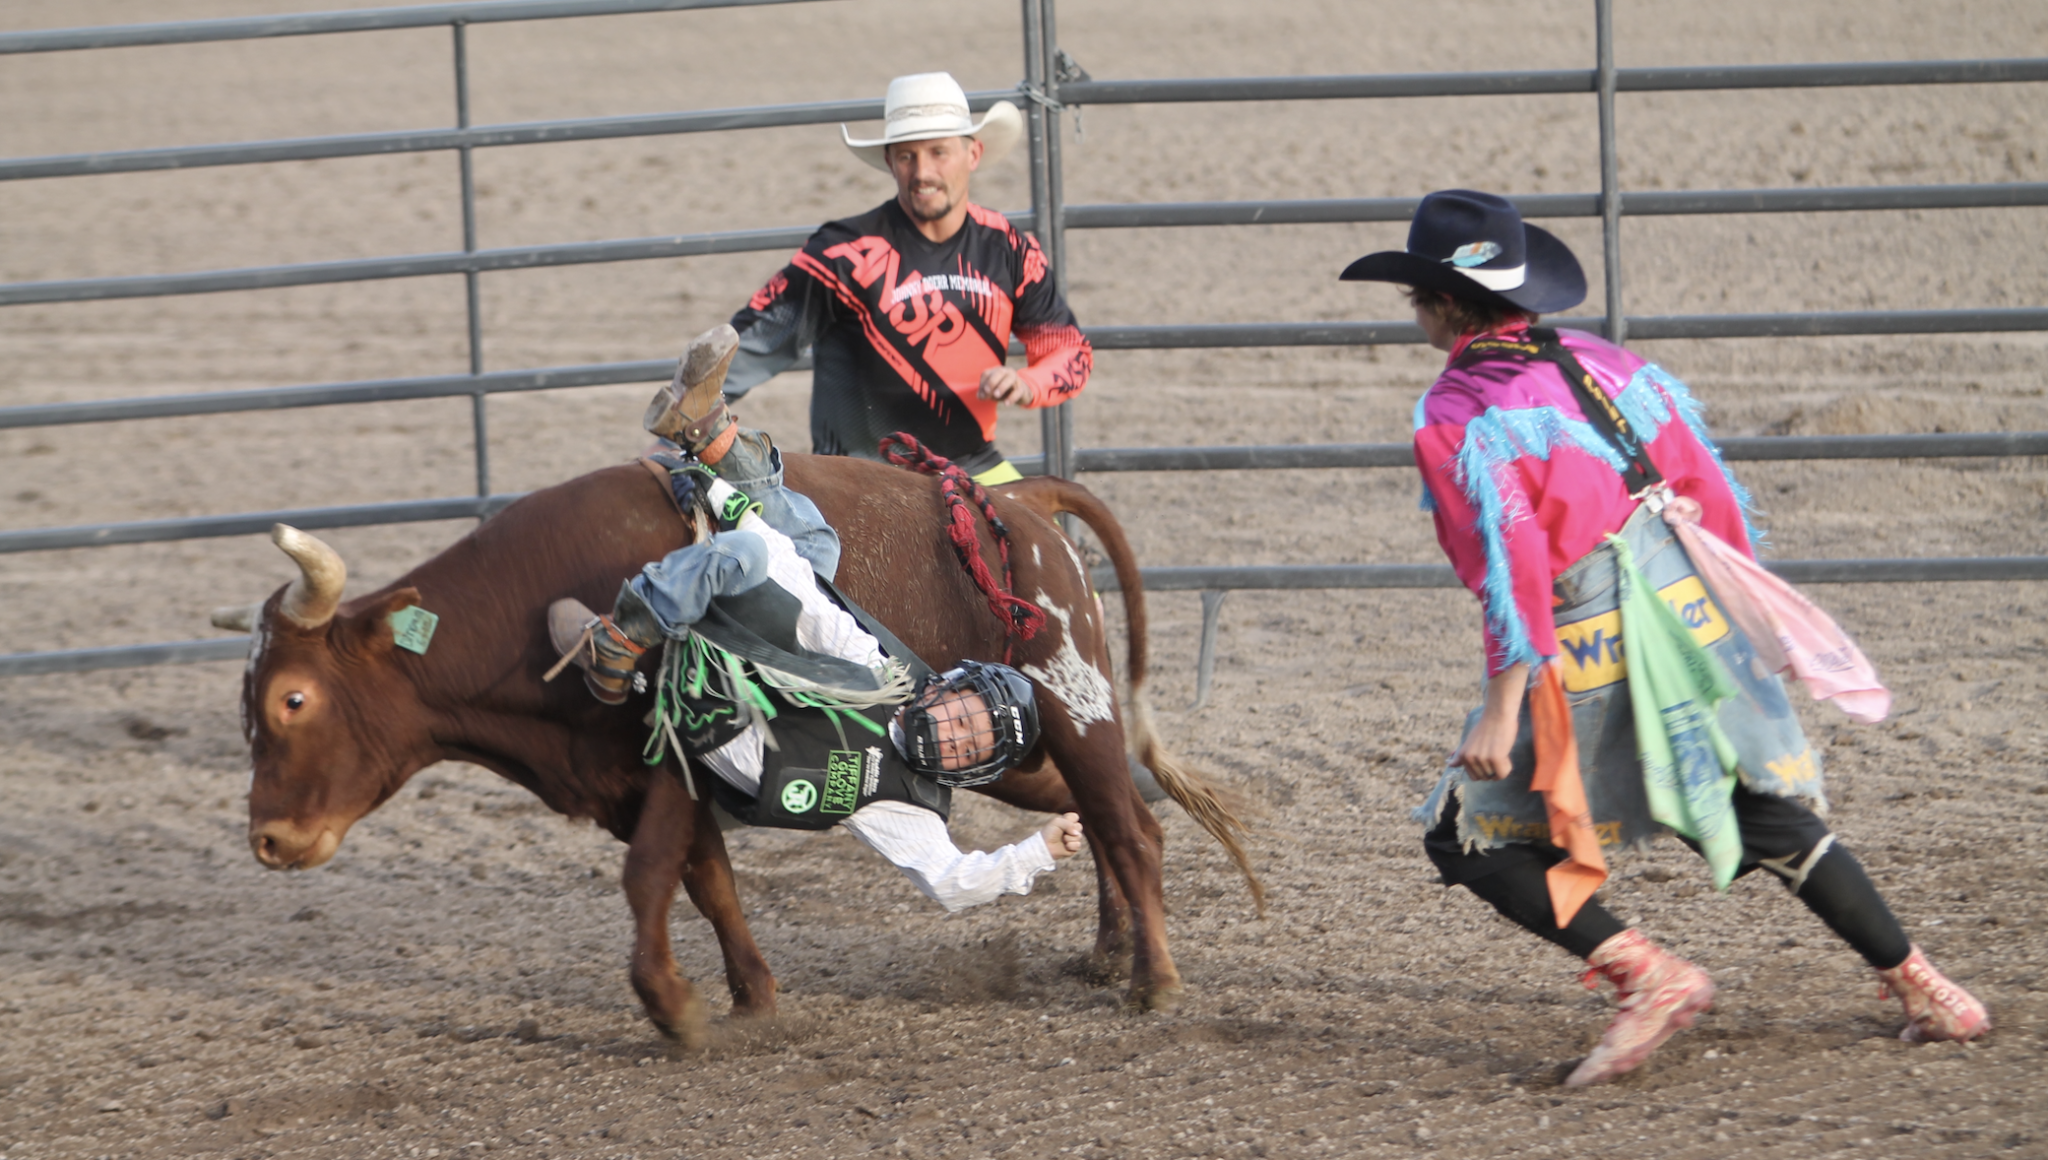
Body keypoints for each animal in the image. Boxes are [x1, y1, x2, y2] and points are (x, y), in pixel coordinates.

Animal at [222, 452, 1259, 1044]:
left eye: (294, 698)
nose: (270, 839)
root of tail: (1021, 506)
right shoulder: (635, 789)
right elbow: (707, 881)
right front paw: (752, 995)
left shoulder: (669, 769)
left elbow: (650, 877)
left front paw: (672, 1009)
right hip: (1030, 748)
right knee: (1108, 815)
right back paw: (1112, 950)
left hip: (1074, 702)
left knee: (1130, 827)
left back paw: (1155, 982)